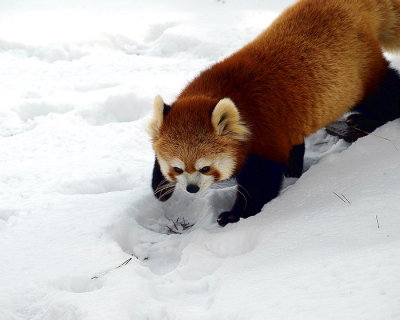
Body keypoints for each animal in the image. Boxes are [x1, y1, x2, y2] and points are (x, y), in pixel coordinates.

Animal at [148, 0, 400, 228]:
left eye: (205, 168)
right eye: (177, 168)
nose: (192, 188)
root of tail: (352, 5)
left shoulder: (264, 133)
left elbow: (262, 181)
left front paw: (235, 215)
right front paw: (160, 188)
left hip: (357, 73)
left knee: (385, 94)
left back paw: (367, 120)